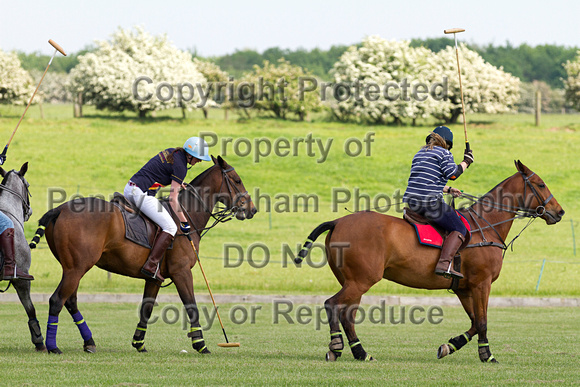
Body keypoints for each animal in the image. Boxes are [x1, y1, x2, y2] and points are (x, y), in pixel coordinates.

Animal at [30, 157, 254, 354]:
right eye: (236, 180)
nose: (252, 209)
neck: (188, 215)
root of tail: (59, 209)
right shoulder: (181, 271)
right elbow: (191, 305)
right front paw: (201, 345)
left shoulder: (155, 278)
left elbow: (147, 307)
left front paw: (139, 343)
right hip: (77, 268)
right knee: (57, 300)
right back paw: (53, 346)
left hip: (71, 268)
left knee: (70, 301)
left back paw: (89, 342)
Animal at [296, 161, 564, 364]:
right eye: (541, 184)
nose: (559, 212)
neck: (486, 225)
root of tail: (337, 222)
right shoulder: (482, 283)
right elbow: (483, 322)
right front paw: (487, 355)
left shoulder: (464, 288)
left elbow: (474, 322)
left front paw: (449, 346)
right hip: (361, 279)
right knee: (332, 305)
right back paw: (337, 347)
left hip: (353, 280)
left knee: (347, 313)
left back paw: (361, 352)